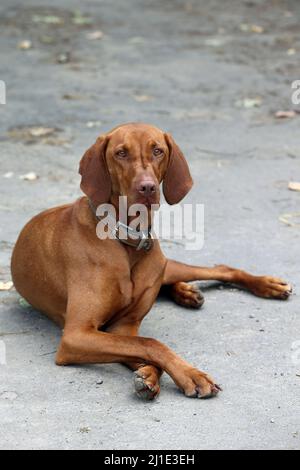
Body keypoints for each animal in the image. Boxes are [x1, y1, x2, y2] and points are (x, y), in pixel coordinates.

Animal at [9, 122, 292, 400]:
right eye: (121, 153)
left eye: (158, 151)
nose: (147, 187)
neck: (125, 240)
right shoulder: (78, 334)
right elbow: (148, 344)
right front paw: (171, 375)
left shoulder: (123, 326)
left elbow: (145, 343)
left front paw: (168, 373)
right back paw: (187, 293)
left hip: (165, 265)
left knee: (220, 268)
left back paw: (263, 285)